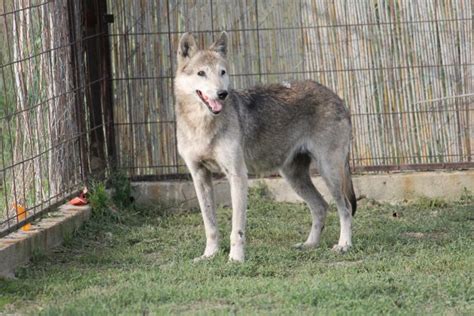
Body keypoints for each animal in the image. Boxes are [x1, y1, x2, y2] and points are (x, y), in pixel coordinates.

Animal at [174, 31, 356, 262]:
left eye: (222, 72)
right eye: (201, 73)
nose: (222, 93)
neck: (201, 124)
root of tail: (337, 97)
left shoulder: (237, 175)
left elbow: (237, 228)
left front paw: (236, 259)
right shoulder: (199, 176)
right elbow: (210, 225)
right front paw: (209, 255)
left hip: (328, 172)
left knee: (345, 207)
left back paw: (344, 245)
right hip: (294, 177)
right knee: (321, 206)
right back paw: (309, 245)